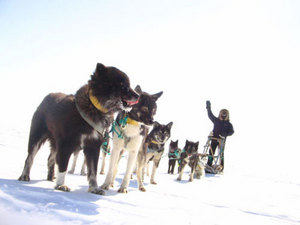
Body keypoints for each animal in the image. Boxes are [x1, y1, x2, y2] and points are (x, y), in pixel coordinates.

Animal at [19, 62, 139, 194]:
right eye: (123, 86)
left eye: (129, 85)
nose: (138, 95)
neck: (94, 107)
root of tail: (46, 98)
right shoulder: (66, 144)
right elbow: (63, 166)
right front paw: (61, 185)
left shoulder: (93, 146)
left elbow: (93, 171)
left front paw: (94, 188)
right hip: (37, 137)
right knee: (29, 158)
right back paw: (25, 175)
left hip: (55, 143)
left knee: (50, 159)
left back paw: (51, 177)